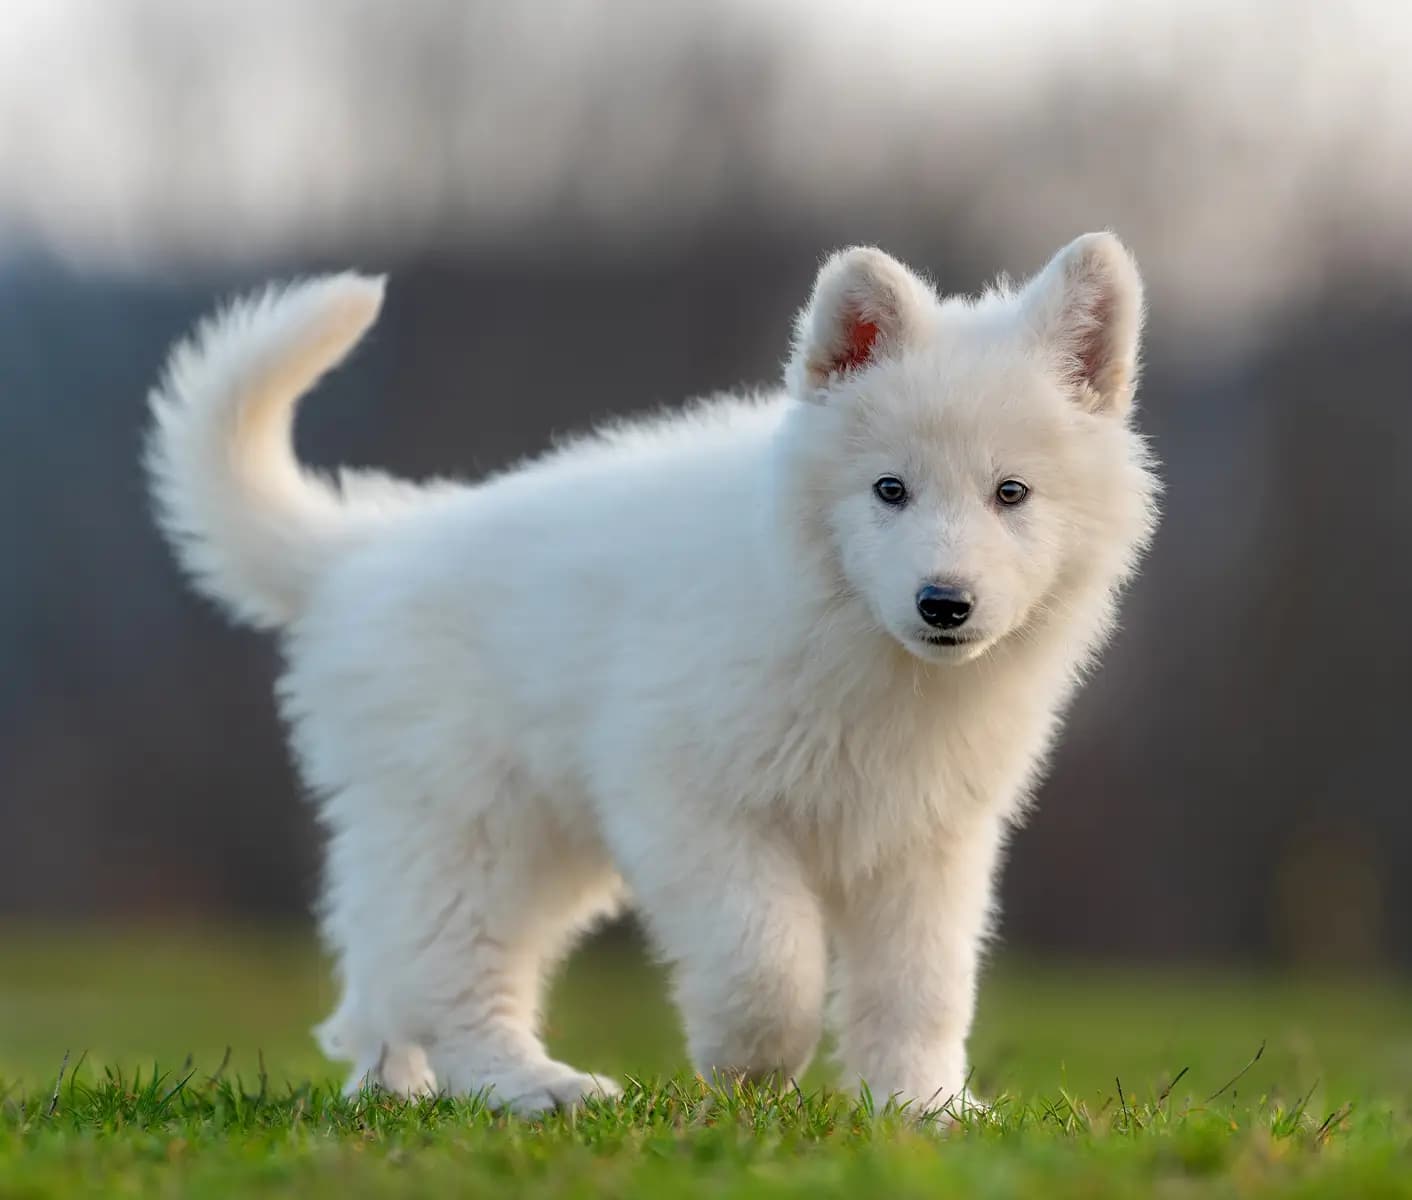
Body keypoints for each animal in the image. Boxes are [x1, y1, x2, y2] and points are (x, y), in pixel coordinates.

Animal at [146, 231, 1157, 1112]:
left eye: (1011, 493)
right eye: (889, 490)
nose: (944, 603)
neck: (860, 648)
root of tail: (363, 550)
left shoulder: (931, 840)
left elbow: (922, 986)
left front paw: (923, 1109)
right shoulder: (687, 804)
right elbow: (768, 956)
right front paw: (752, 1069)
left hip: (512, 842)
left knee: (384, 979)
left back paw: (393, 1091)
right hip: (472, 823)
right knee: (447, 973)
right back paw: (530, 1090)